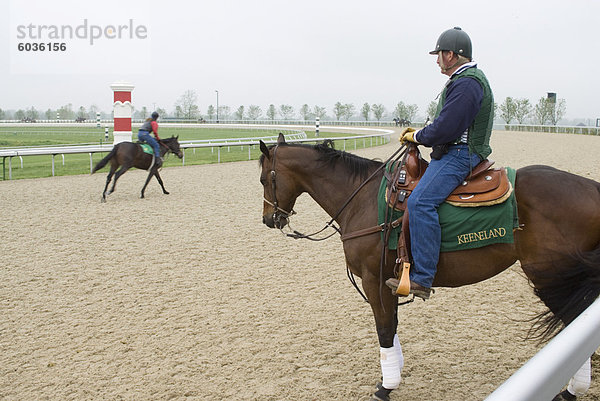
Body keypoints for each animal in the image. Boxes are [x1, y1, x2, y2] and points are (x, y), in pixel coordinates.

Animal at [258, 134, 600, 396]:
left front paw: (387, 386)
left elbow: (384, 329)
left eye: (263, 179)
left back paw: (573, 390)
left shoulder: (373, 279)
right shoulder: (389, 281)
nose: (269, 219)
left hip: (552, 279)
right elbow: (393, 325)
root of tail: (593, 189)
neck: (363, 199)